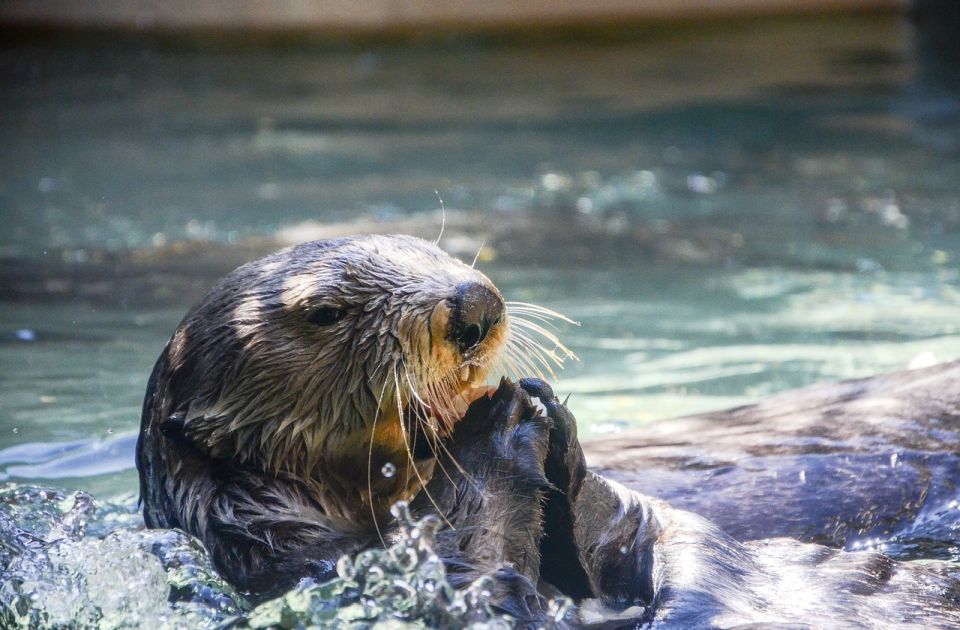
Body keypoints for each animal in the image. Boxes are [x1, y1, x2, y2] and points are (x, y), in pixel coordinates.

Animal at [137, 237, 960, 628]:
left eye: (433, 249)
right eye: (324, 312)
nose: (474, 302)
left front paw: (549, 423)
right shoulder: (306, 567)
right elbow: (488, 593)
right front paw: (494, 431)